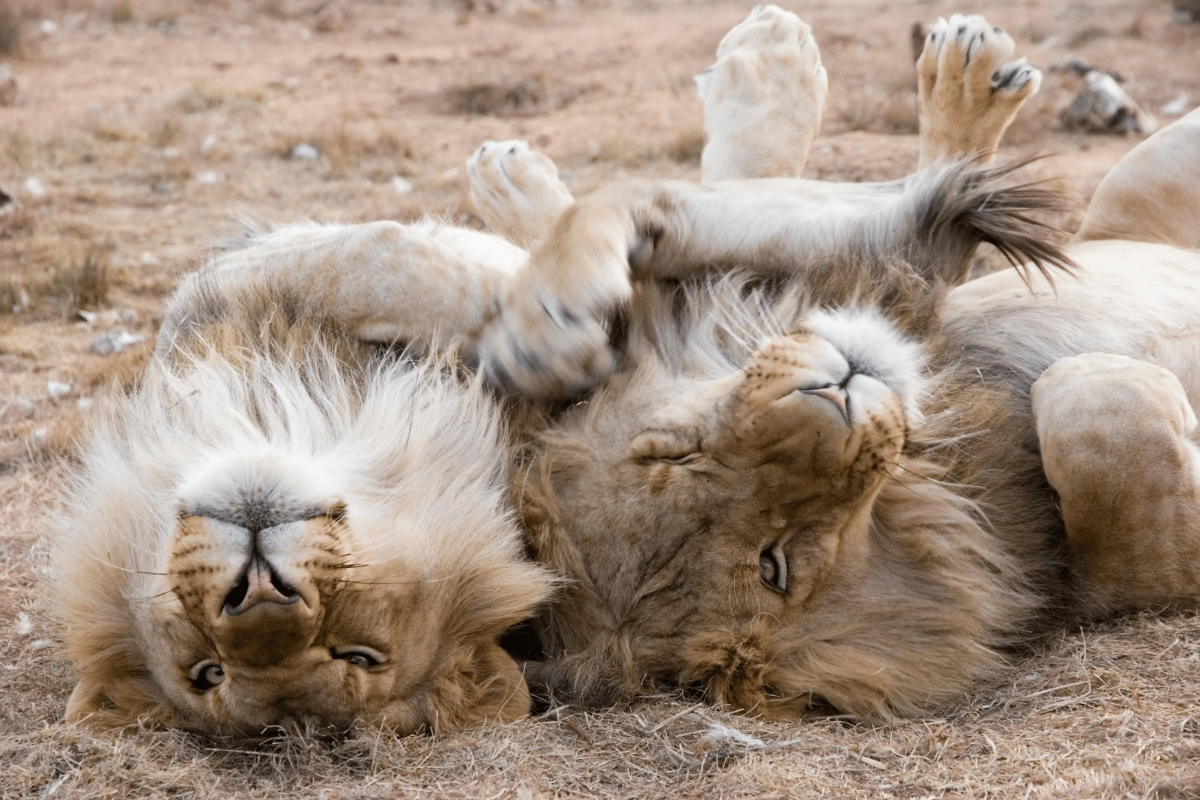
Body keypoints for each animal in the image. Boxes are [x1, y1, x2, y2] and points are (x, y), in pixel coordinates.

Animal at [467, 9, 1200, 719]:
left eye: (670, 452)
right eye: (774, 565)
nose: (838, 393)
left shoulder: (867, 258)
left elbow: (625, 199)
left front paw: (543, 331)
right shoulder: (1093, 575)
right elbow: (1093, 424)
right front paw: (1115, 379)